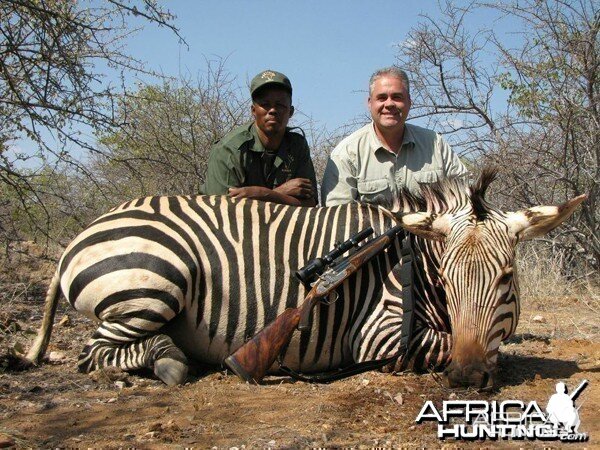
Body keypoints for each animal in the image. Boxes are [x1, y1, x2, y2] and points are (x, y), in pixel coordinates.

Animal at [25, 171, 584, 388]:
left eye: (507, 277)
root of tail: (80, 235)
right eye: (447, 278)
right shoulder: (377, 333)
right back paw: (170, 362)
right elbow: (454, 347)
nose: (466, 379)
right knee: (94, 354)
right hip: (155, 282)